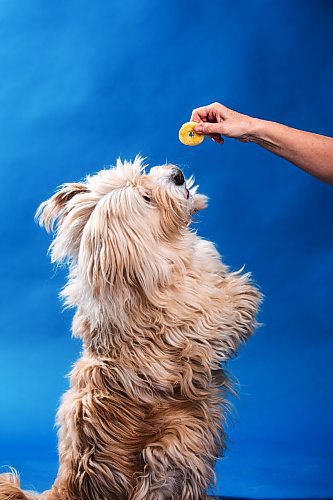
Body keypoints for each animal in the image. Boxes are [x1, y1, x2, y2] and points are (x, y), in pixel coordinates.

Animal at [0, 158, 260, 498]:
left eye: (144, 175)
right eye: (146, 199)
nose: (177, 174)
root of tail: (66, 490)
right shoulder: (191, 332)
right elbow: (216, 314)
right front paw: (242, 292)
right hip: (171, 451)